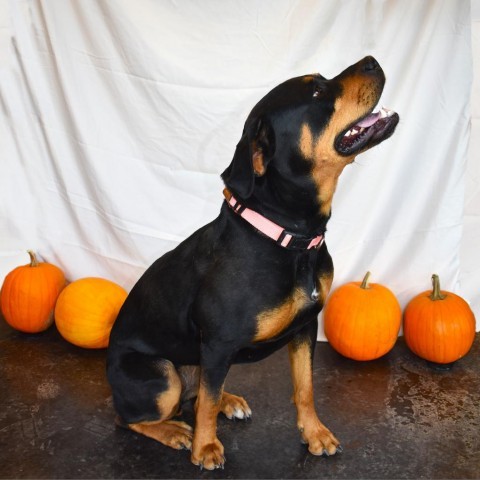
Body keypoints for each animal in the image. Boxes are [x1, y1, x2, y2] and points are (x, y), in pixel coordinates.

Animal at [107, 55, 400, 468]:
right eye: (317, 91)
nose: (373, 60)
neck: (290, 238)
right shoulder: (218, 342)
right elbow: (207, 405)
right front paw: (205, 447)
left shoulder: (304, 328)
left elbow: (305, 388)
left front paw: (314, 433)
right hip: (162, 376)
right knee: (133, 416)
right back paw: (174, 431)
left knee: (199, 393)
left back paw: (228, 402)